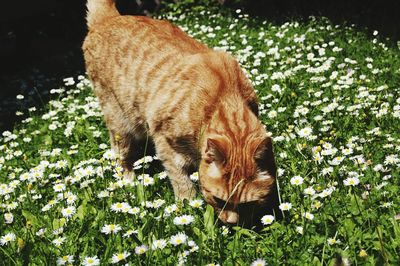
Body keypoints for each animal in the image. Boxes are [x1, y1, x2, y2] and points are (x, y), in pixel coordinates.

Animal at [83, 0, 278, 225]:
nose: (231, 223)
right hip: (120, 124)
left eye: (248, 205)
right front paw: (188, 206)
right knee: (121, 158)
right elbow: (181, 181)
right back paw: (129, 182)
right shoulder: (165, 143)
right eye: (219, 200)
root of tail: (109, 18)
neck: (223, 98)